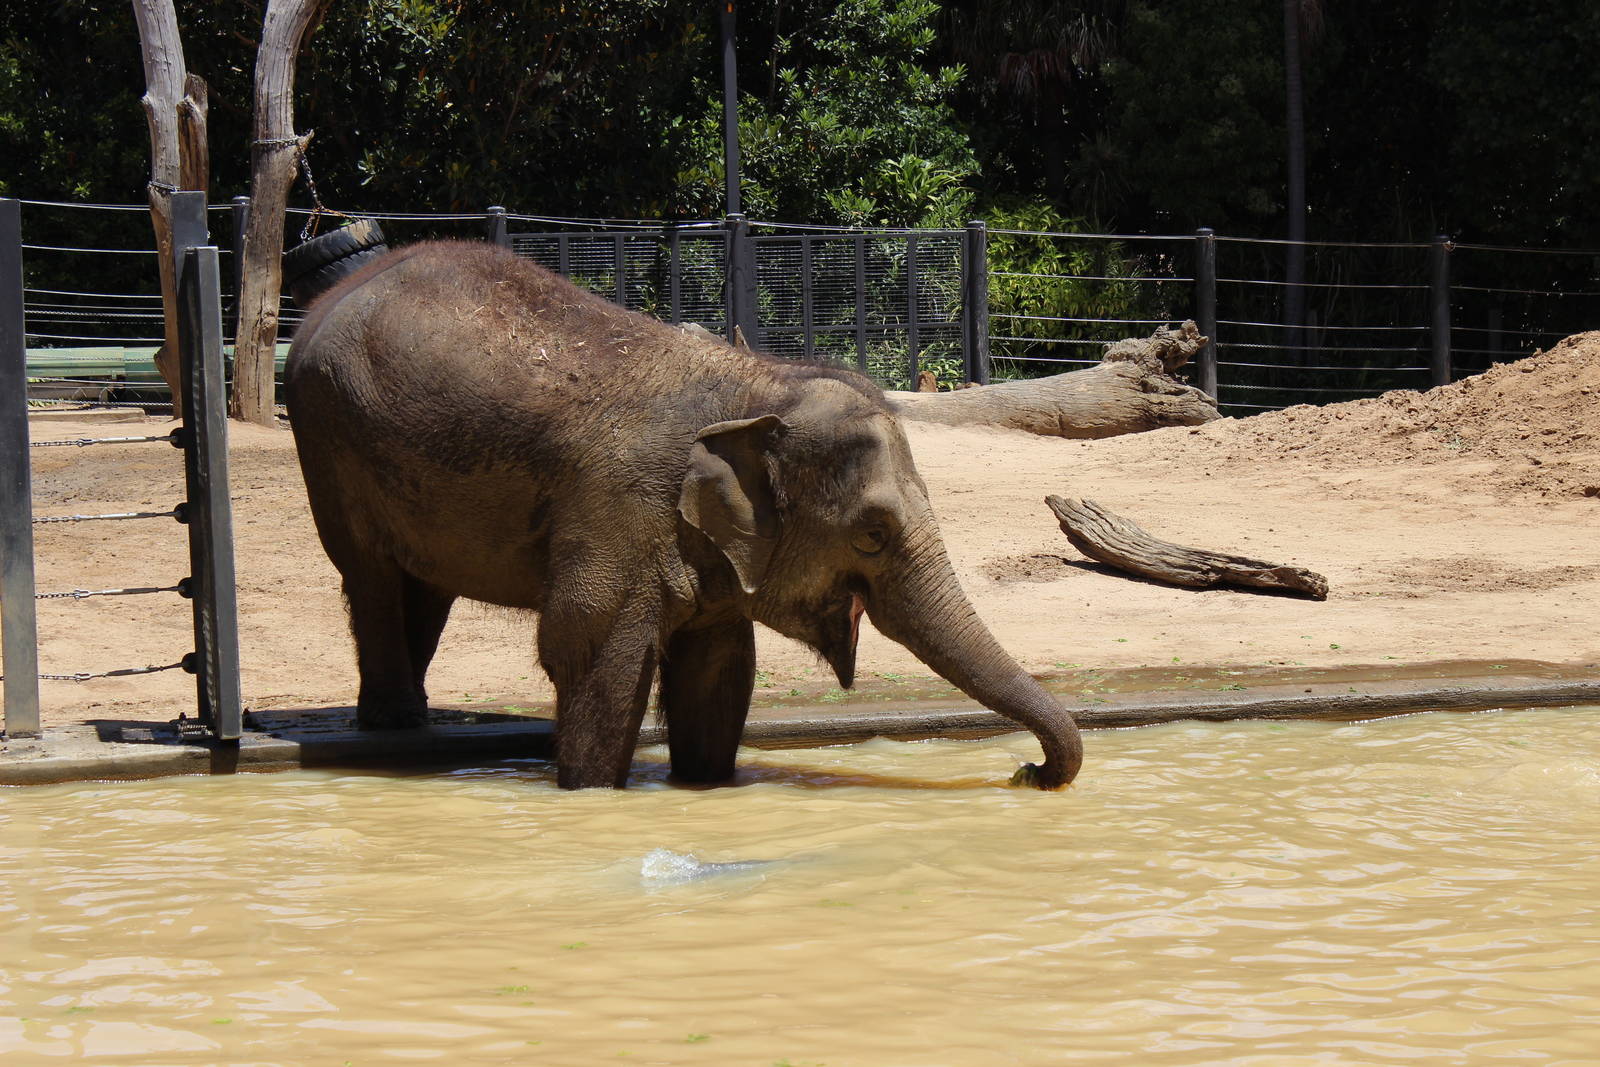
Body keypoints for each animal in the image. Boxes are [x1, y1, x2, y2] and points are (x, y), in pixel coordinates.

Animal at [283, 241, 1083, 790]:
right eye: (873, 534)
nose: (1026, 772)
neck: (756, 385)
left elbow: (718, 667)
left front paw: (703, 786)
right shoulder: (616, 506)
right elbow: (591, 647)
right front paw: (586, 792)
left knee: (424, 586)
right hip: (326, 434)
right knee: (371, 575)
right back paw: (394, 721)